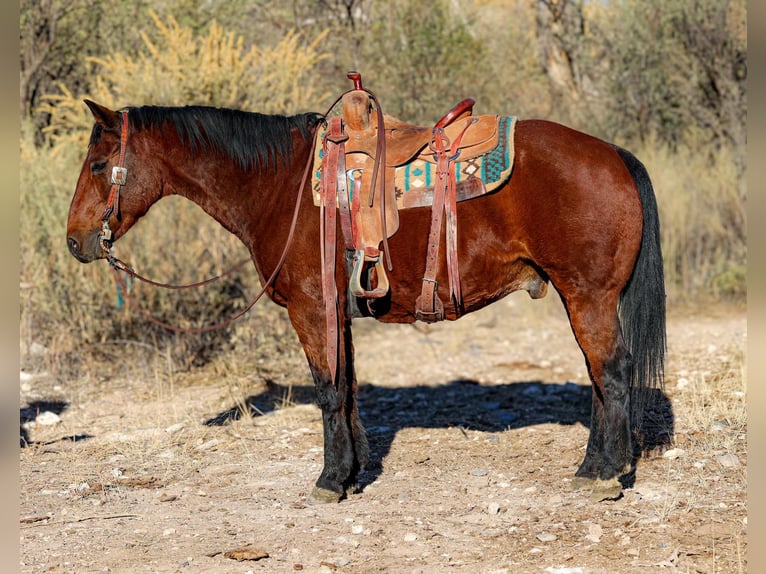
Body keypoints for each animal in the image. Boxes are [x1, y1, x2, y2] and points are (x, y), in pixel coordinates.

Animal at [66, 97, 665, 503]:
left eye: (97, 165)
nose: (74, 242)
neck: (280, 185)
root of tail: (613, 154)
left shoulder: (312, 310)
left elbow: (329, 390)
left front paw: (331, 480)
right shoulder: (338, 313)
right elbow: (349, 389)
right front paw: (353, 475)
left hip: (587, 296)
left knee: (612, 372)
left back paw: (607, 474)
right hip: (581, 298)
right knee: (598, 376)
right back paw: (593, 467)